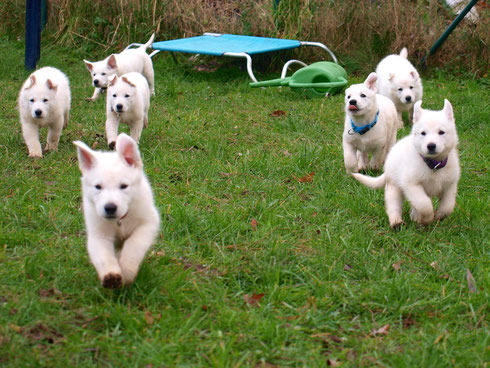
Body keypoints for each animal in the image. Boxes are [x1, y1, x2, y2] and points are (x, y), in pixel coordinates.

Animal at [73, 133, 160, 288]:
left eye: (124, 186)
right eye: (98, 186)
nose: (110, 208)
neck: (120, 220)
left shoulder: (148, 223)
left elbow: (134, 245)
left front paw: (127, 270)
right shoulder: (99, 234)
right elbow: (103, 256)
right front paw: (111, 276)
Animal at [352, 99, 460, 229]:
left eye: (441, 132)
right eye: (423, 133)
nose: (431, 146)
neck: (433, 164)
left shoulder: (450, 184)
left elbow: (448, 205)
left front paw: (439, 216)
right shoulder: (412, 185)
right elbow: (424, 203)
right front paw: (427, 218)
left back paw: (415, 217)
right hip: (394, 186)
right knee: (393, 205)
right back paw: (396, 222)